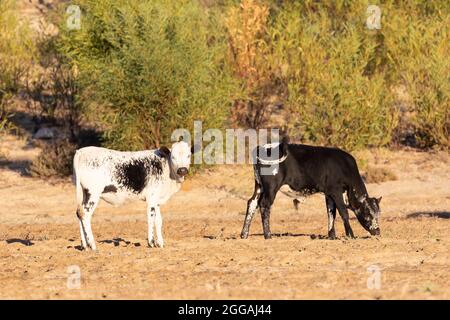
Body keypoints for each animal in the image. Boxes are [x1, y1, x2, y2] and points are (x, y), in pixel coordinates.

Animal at [241, 140, 382, 240]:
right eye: (368, 214)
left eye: (378, 214)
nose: (377, 231)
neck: (344, 167)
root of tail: (261, 147)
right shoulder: (335, 191)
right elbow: (343, 212)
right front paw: (350, 235)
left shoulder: (329, 194)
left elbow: (331, 213)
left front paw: (332, 236)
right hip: (271, 187)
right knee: (264, 205)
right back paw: (268, 235)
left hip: (259, 186)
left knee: (252, 203)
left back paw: (244, 234)